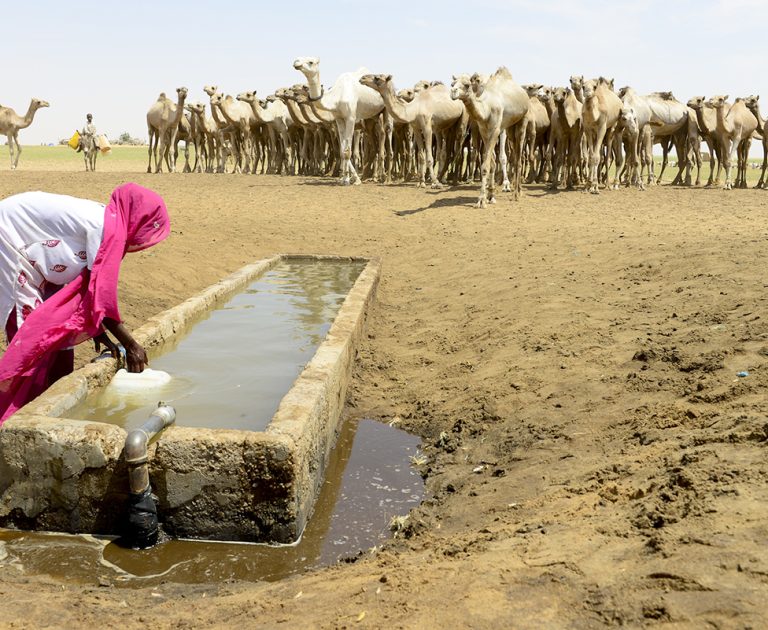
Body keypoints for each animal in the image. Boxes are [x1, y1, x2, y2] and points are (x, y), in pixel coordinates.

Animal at [292, 55, 384, 185]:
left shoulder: (351, 118)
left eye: (311, 62)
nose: (296, 63)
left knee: (382, 136)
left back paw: (380, 177)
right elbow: (342, 150)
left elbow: (347, 151)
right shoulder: (339, 119)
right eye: (299, 58)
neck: (336, 96)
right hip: (369, 120)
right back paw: (368, 176)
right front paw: (346, 178)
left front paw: (349, 180)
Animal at [450, 69, 528, 207]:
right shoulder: (484, 131)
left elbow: (486, 166)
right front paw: (490, 196)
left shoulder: (496, 129)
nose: (453, 91)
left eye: (467, 85)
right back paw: (517, 191)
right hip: (510, 128)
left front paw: (481, 200)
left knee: (518, 157)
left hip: (523, 120)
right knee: (514, 153)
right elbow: (490, 162)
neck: (486, 109)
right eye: (452, 83)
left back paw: (516, 194)